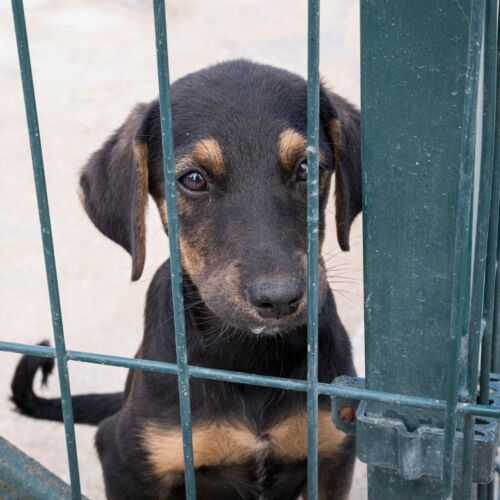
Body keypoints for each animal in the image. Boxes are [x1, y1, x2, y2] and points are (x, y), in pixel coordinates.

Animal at [11, 60, 362, 498]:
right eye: (193, 179)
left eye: (307, 168)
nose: (279, 299)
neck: (247, 358)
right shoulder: (127, 455)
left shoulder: (333, 452)